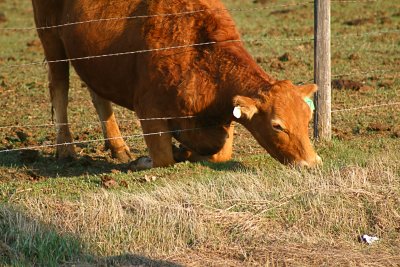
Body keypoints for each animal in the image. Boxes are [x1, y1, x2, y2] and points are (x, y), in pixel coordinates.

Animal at [30, 0, 322, 168]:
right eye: (277, 126)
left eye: (307, 119)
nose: (312, 162)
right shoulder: (149, 110)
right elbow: (163, 158)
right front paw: (148, 159)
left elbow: (219, 151)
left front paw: (186, 150)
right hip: (50, 38)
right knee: (59, 87)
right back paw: (66, 149)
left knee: (98, 94)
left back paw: (118, 147)